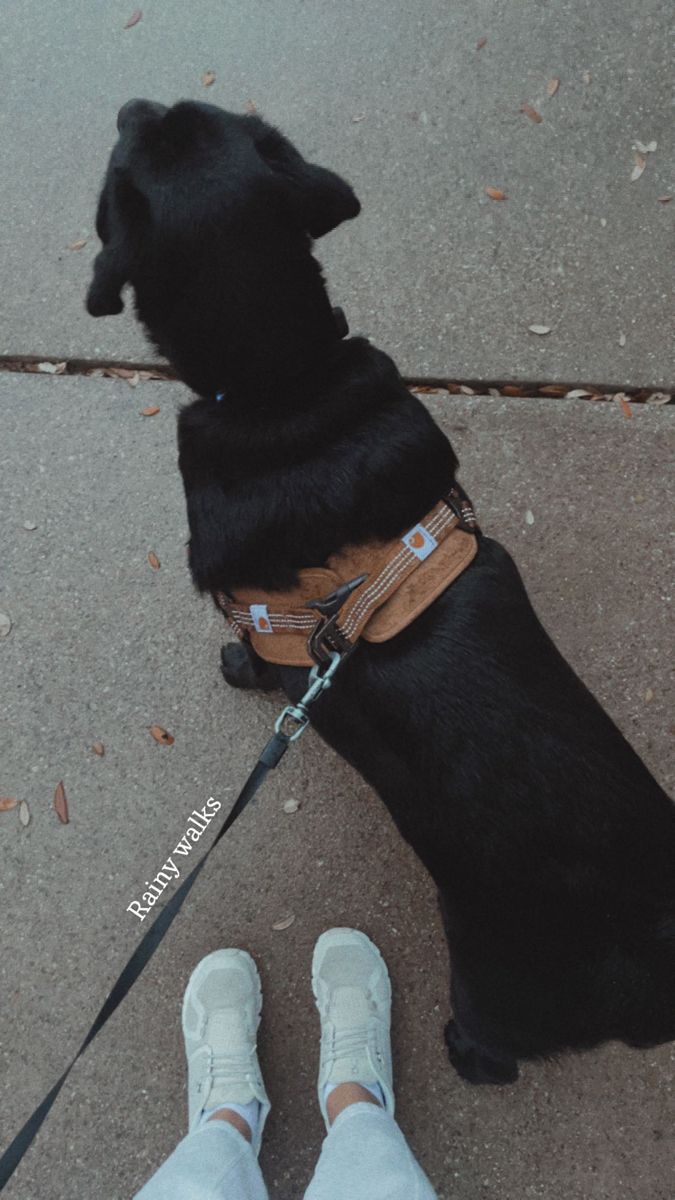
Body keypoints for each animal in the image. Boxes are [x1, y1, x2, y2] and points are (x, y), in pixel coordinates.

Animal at [86, 98, 667, 1084]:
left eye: (139, 143)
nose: (132, 104)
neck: (285, 376)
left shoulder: (267, 622)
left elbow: (257, 658)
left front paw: (236, 667)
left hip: (492, 985)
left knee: (494, 1051)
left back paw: (457, 1048)